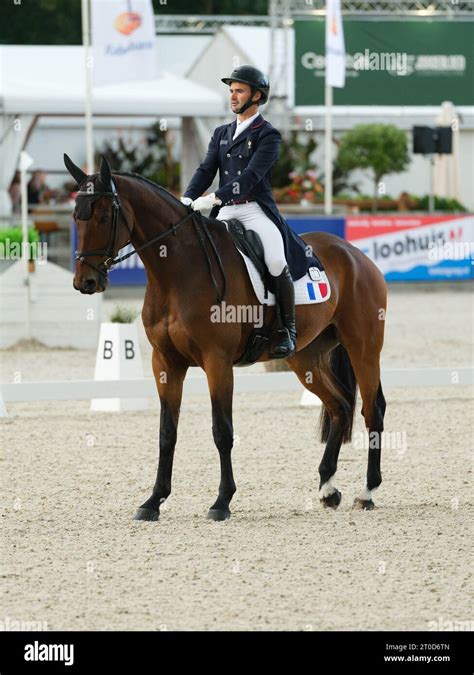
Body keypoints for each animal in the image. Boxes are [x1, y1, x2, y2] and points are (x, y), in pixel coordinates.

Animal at [65, 157, 386, 524]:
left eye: (104, 217)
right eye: (76, 216)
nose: (85, 282)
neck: (177, 272)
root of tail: (354, 254)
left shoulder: (216, 362)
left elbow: (222, 431)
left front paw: (222, 501)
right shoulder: (165, 363)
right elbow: (166, 433)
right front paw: (153, 501)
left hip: (364, 348)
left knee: (372, 410)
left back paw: (367, 492)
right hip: (305, 358)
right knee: (340, 406)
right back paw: (328, 489)